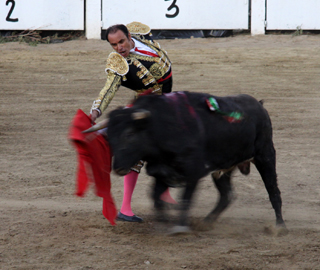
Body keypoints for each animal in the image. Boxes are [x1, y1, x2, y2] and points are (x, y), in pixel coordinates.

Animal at [106, 92, 286, 232]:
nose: (118, 168)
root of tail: (260, 105)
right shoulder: (161, 171)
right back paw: (206, 223)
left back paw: (279, 226)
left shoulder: (193, 171)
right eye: (110, 138)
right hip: (223, 169)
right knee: (226, 195)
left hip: (265, 155)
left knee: (273, 191)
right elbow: (155, 197)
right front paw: (163, 220)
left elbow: (185, 199)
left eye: (129, 134)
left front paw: (180, 227)